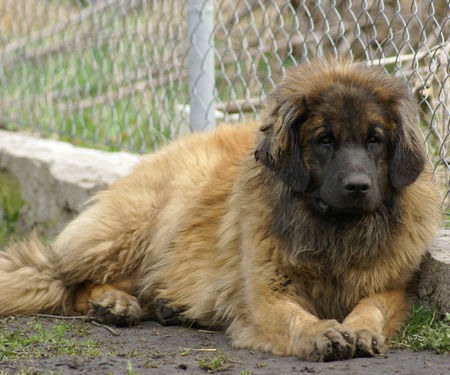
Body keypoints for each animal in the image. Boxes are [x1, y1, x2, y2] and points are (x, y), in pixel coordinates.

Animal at [0, 61, 440, 362]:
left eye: (374, 140)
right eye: (324, 140)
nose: (357, 187)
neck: (332, 231)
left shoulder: (391, 287)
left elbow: (371, 307)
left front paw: (361, 330)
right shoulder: (266, 296)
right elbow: (294, 318)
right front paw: (322, 333)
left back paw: (166, 306)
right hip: (146, 225)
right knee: (70, 281)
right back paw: (114, 304)